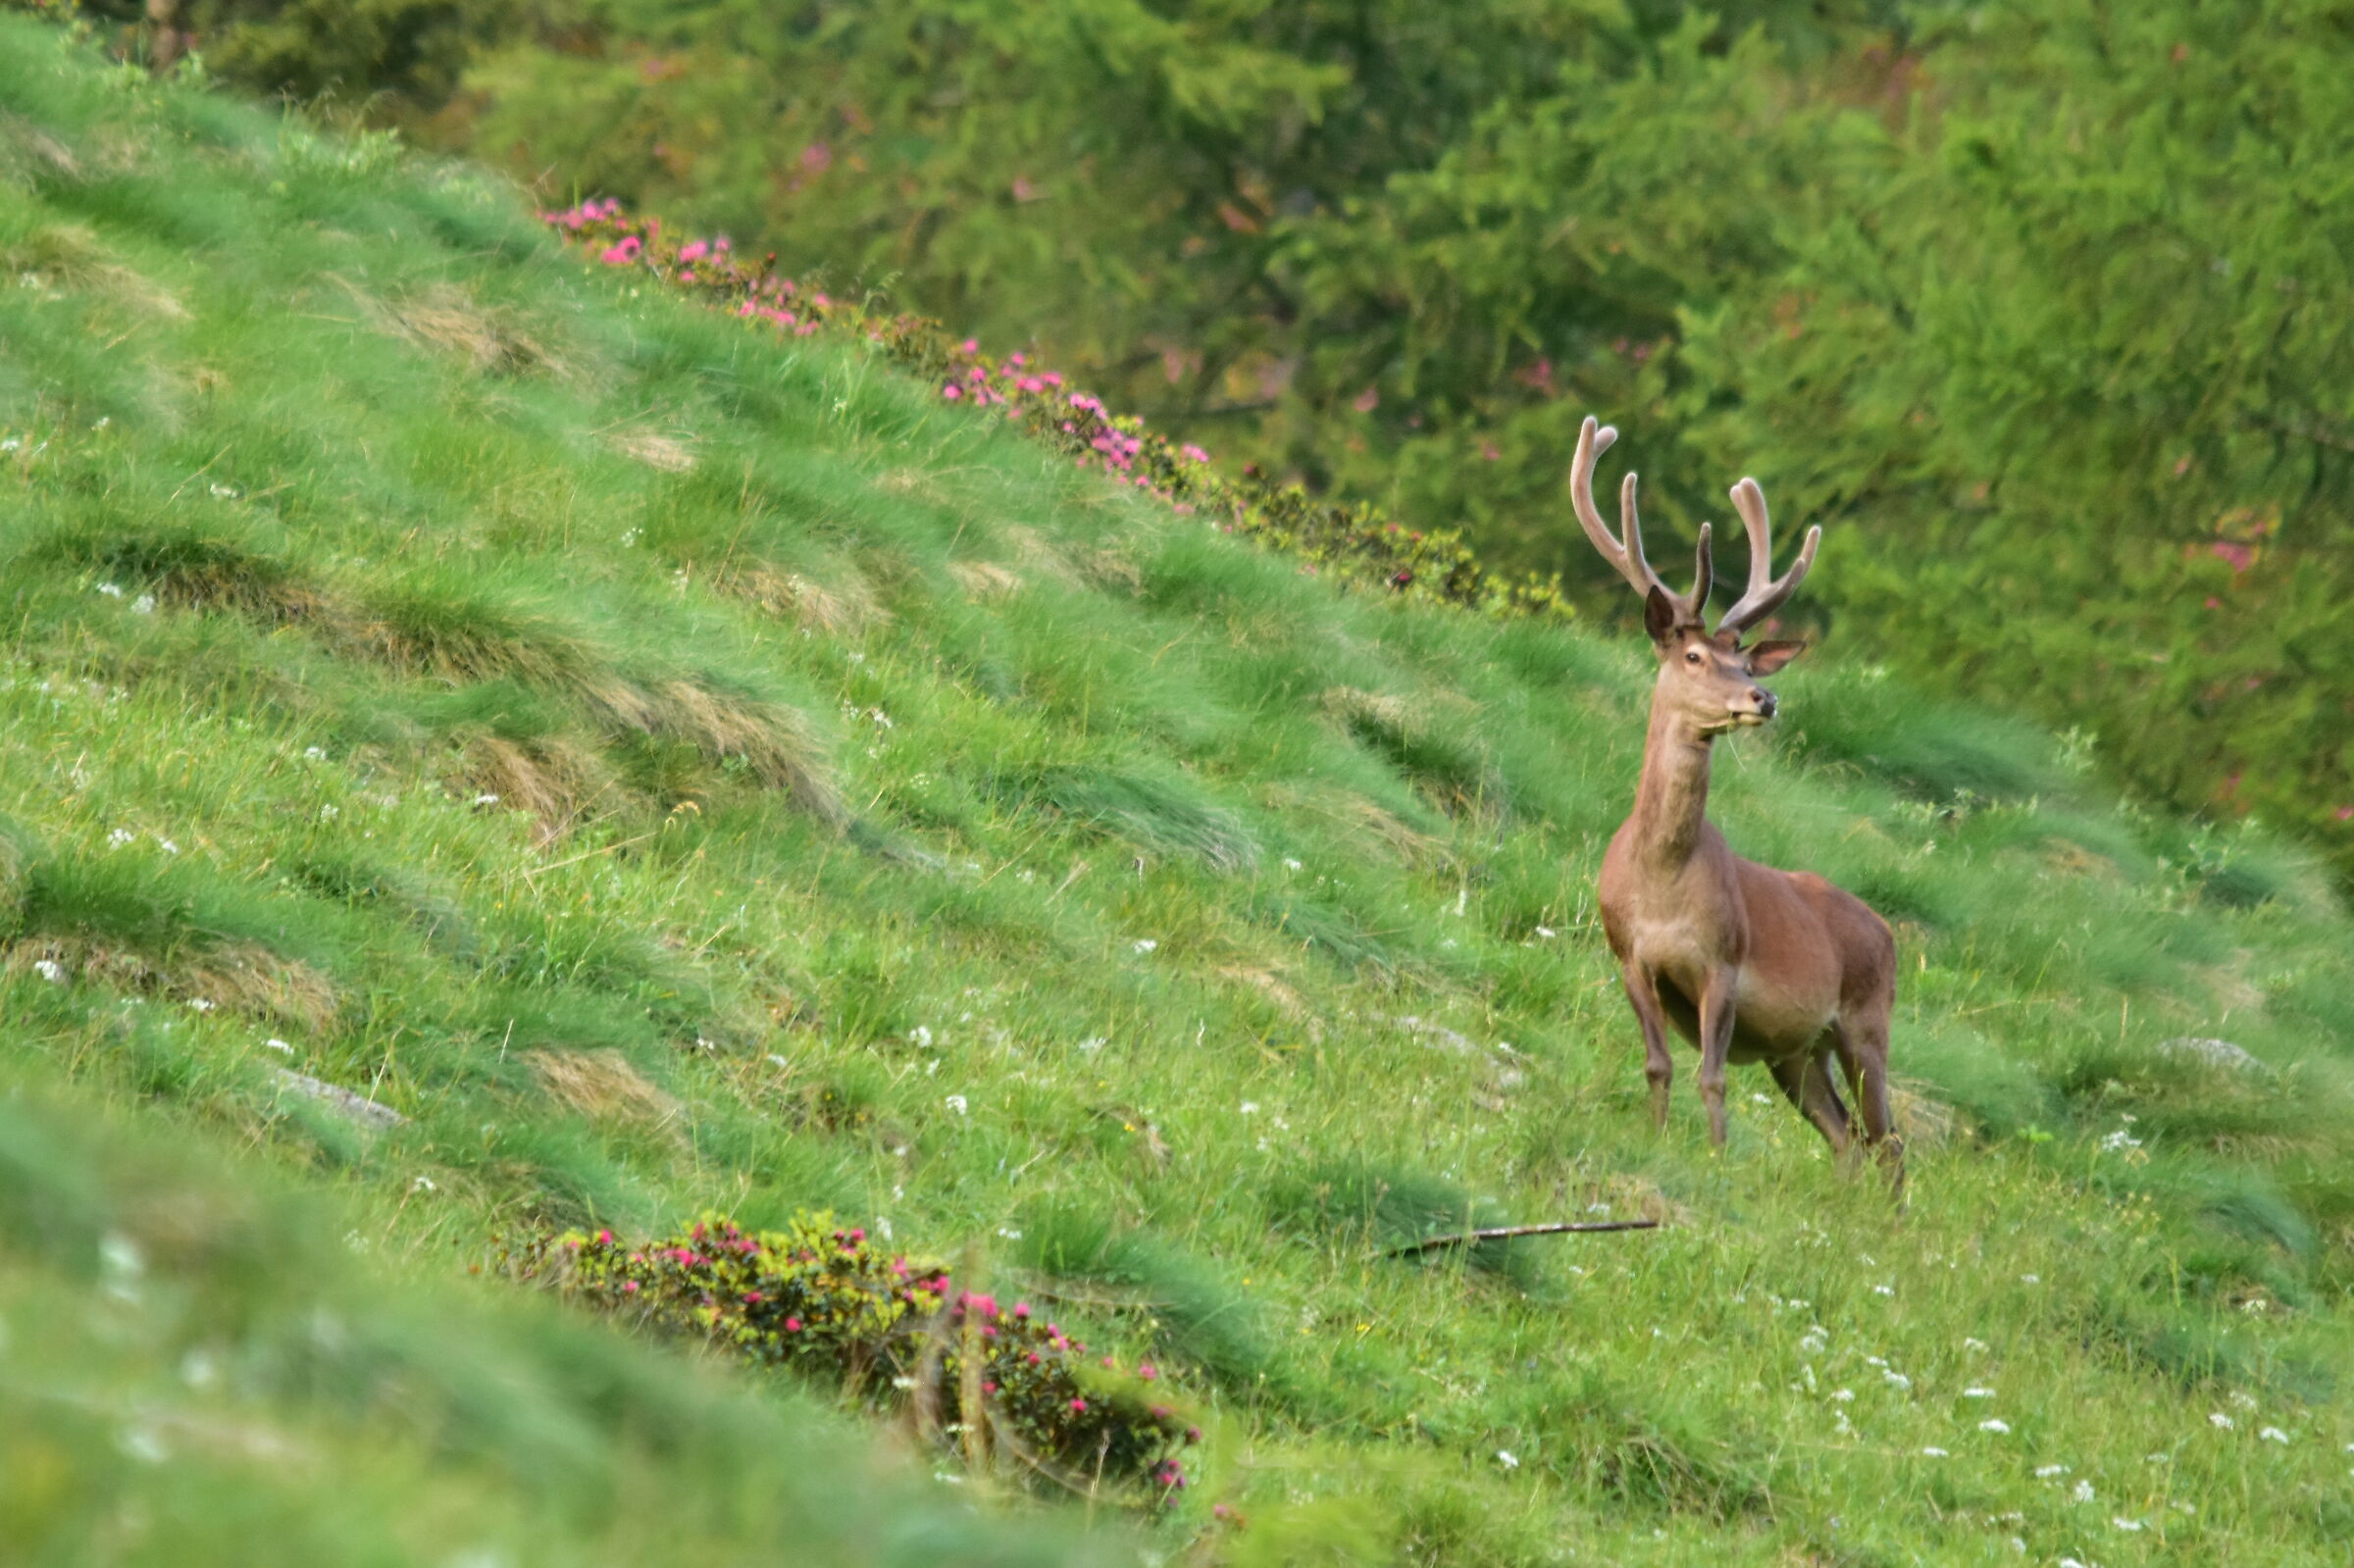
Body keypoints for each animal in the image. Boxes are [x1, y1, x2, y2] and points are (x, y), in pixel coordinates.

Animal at [1570, 415, 1903, 1192]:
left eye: (1746, 660)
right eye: (1694, 657)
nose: (1764, 697)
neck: (1661, 880)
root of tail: (1893, 935)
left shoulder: (1724, 963)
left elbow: (1713, 1076)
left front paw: (1716, 1158)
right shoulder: (1629, 956)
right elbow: (1659, 1064)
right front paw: (1658, 1140)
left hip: (1866, 1021)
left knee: (1890, 1141)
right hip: (1797, 1050)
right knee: (1846, 1137)